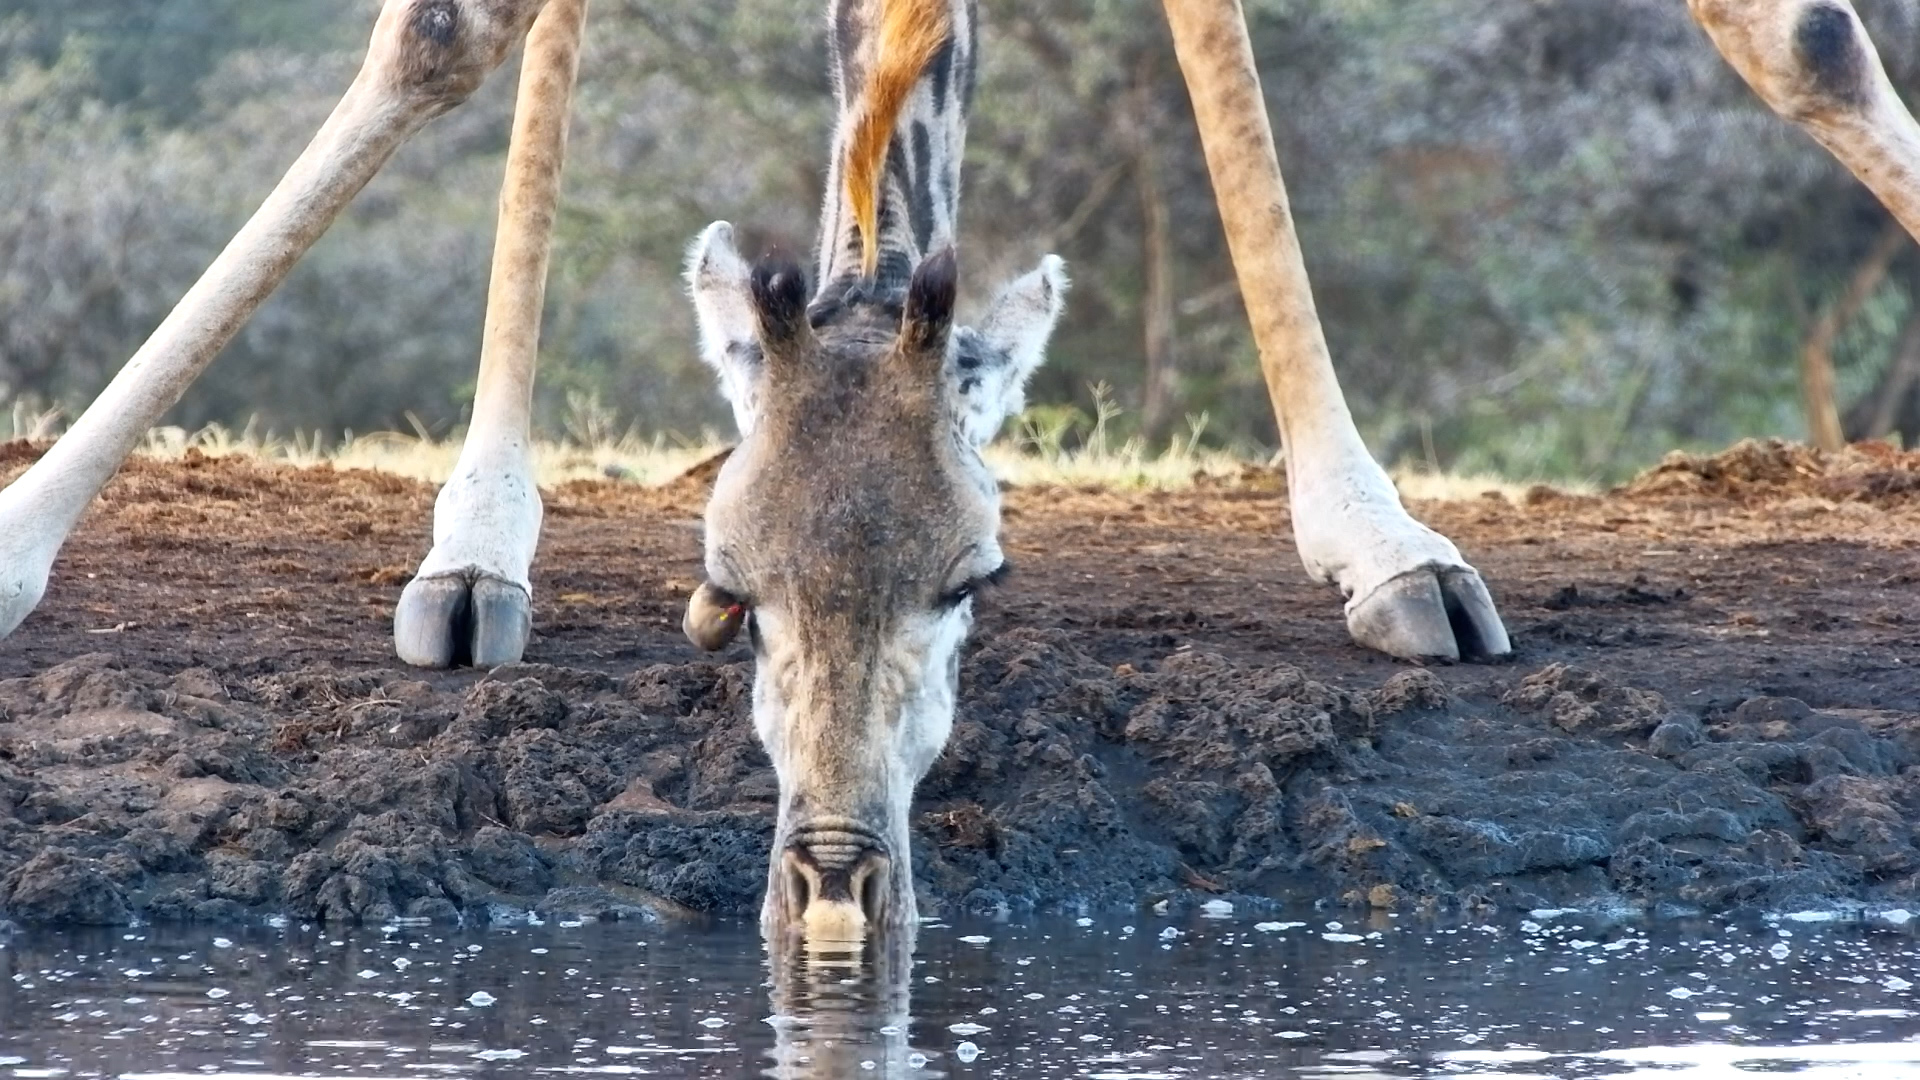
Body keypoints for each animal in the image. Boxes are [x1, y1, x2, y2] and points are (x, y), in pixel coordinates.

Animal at [0, 0, 1911, 941]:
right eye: (728, 578)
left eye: (979, 577)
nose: (834, 877)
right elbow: (450, 29)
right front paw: (31, 531)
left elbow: (1803, 28)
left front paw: (1385, 546)